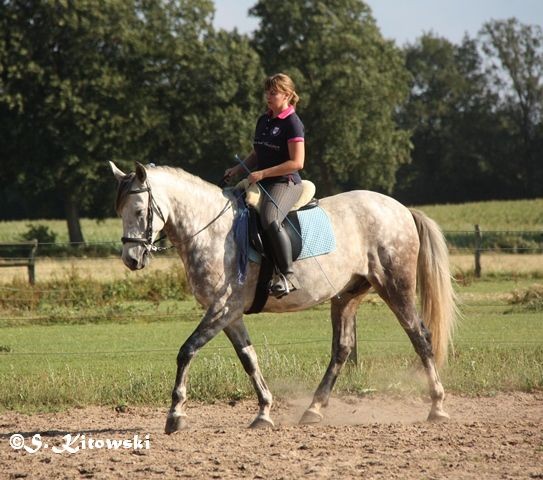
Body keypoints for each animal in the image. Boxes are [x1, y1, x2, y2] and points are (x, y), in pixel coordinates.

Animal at [110, 162, 460, 436]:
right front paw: (264, 412)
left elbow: (187, 351)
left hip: (395, 286)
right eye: (120, 212)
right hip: (346, 296)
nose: (131, 259)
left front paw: (175, 415)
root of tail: (400, 209)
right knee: (343, 348)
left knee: (420, 336)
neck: (210, 230)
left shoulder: (222, 307)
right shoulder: (229, 314)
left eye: (139, 211)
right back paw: (313, 409)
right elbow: (249, 359)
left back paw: (437, 406)